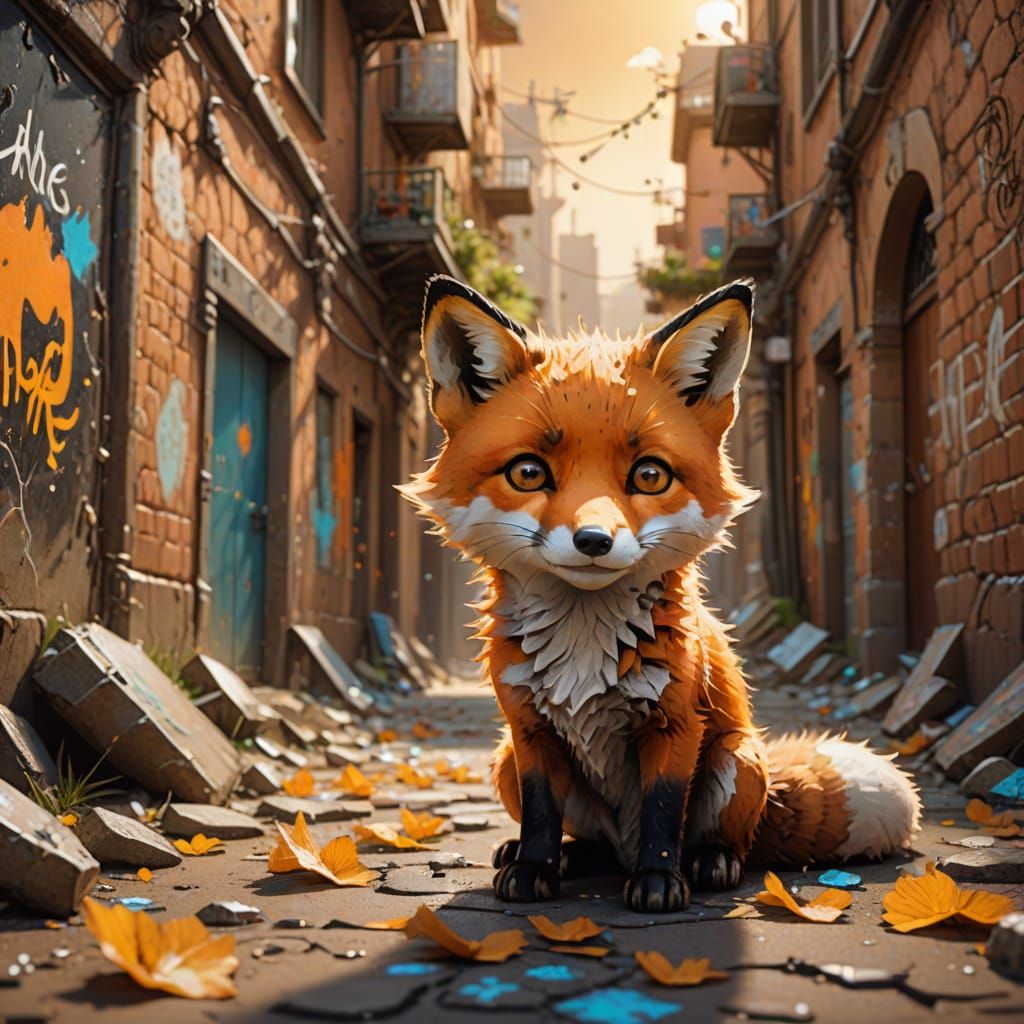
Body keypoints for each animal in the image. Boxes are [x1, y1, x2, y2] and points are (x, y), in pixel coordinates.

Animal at [401, 274, 921, 912]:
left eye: (650, 476)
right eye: (528, 472)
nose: (593, 540)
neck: (584, 641)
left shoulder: (675, 724)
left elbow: (662, 813)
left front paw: (658, 881)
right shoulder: (528, 730)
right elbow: (543, 815)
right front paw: (532, 870)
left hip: (737, 760)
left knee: (728, 841)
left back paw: (710, 862)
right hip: (503, 763)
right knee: (592, 845)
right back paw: (561, 857)